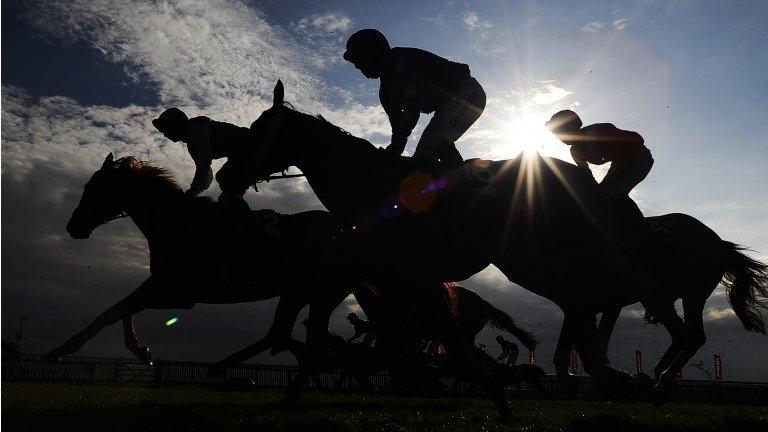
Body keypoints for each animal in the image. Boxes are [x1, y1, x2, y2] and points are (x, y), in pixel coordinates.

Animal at [242, 81, 768, 412]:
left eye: (259, 130)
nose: (232, 173)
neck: (371, 185)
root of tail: (716, 240)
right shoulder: (403, 279)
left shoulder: (406, 275)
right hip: (616, 283)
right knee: (645, 324)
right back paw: (638, 377)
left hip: (671, 288)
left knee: (684, 333)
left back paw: (641, 380)